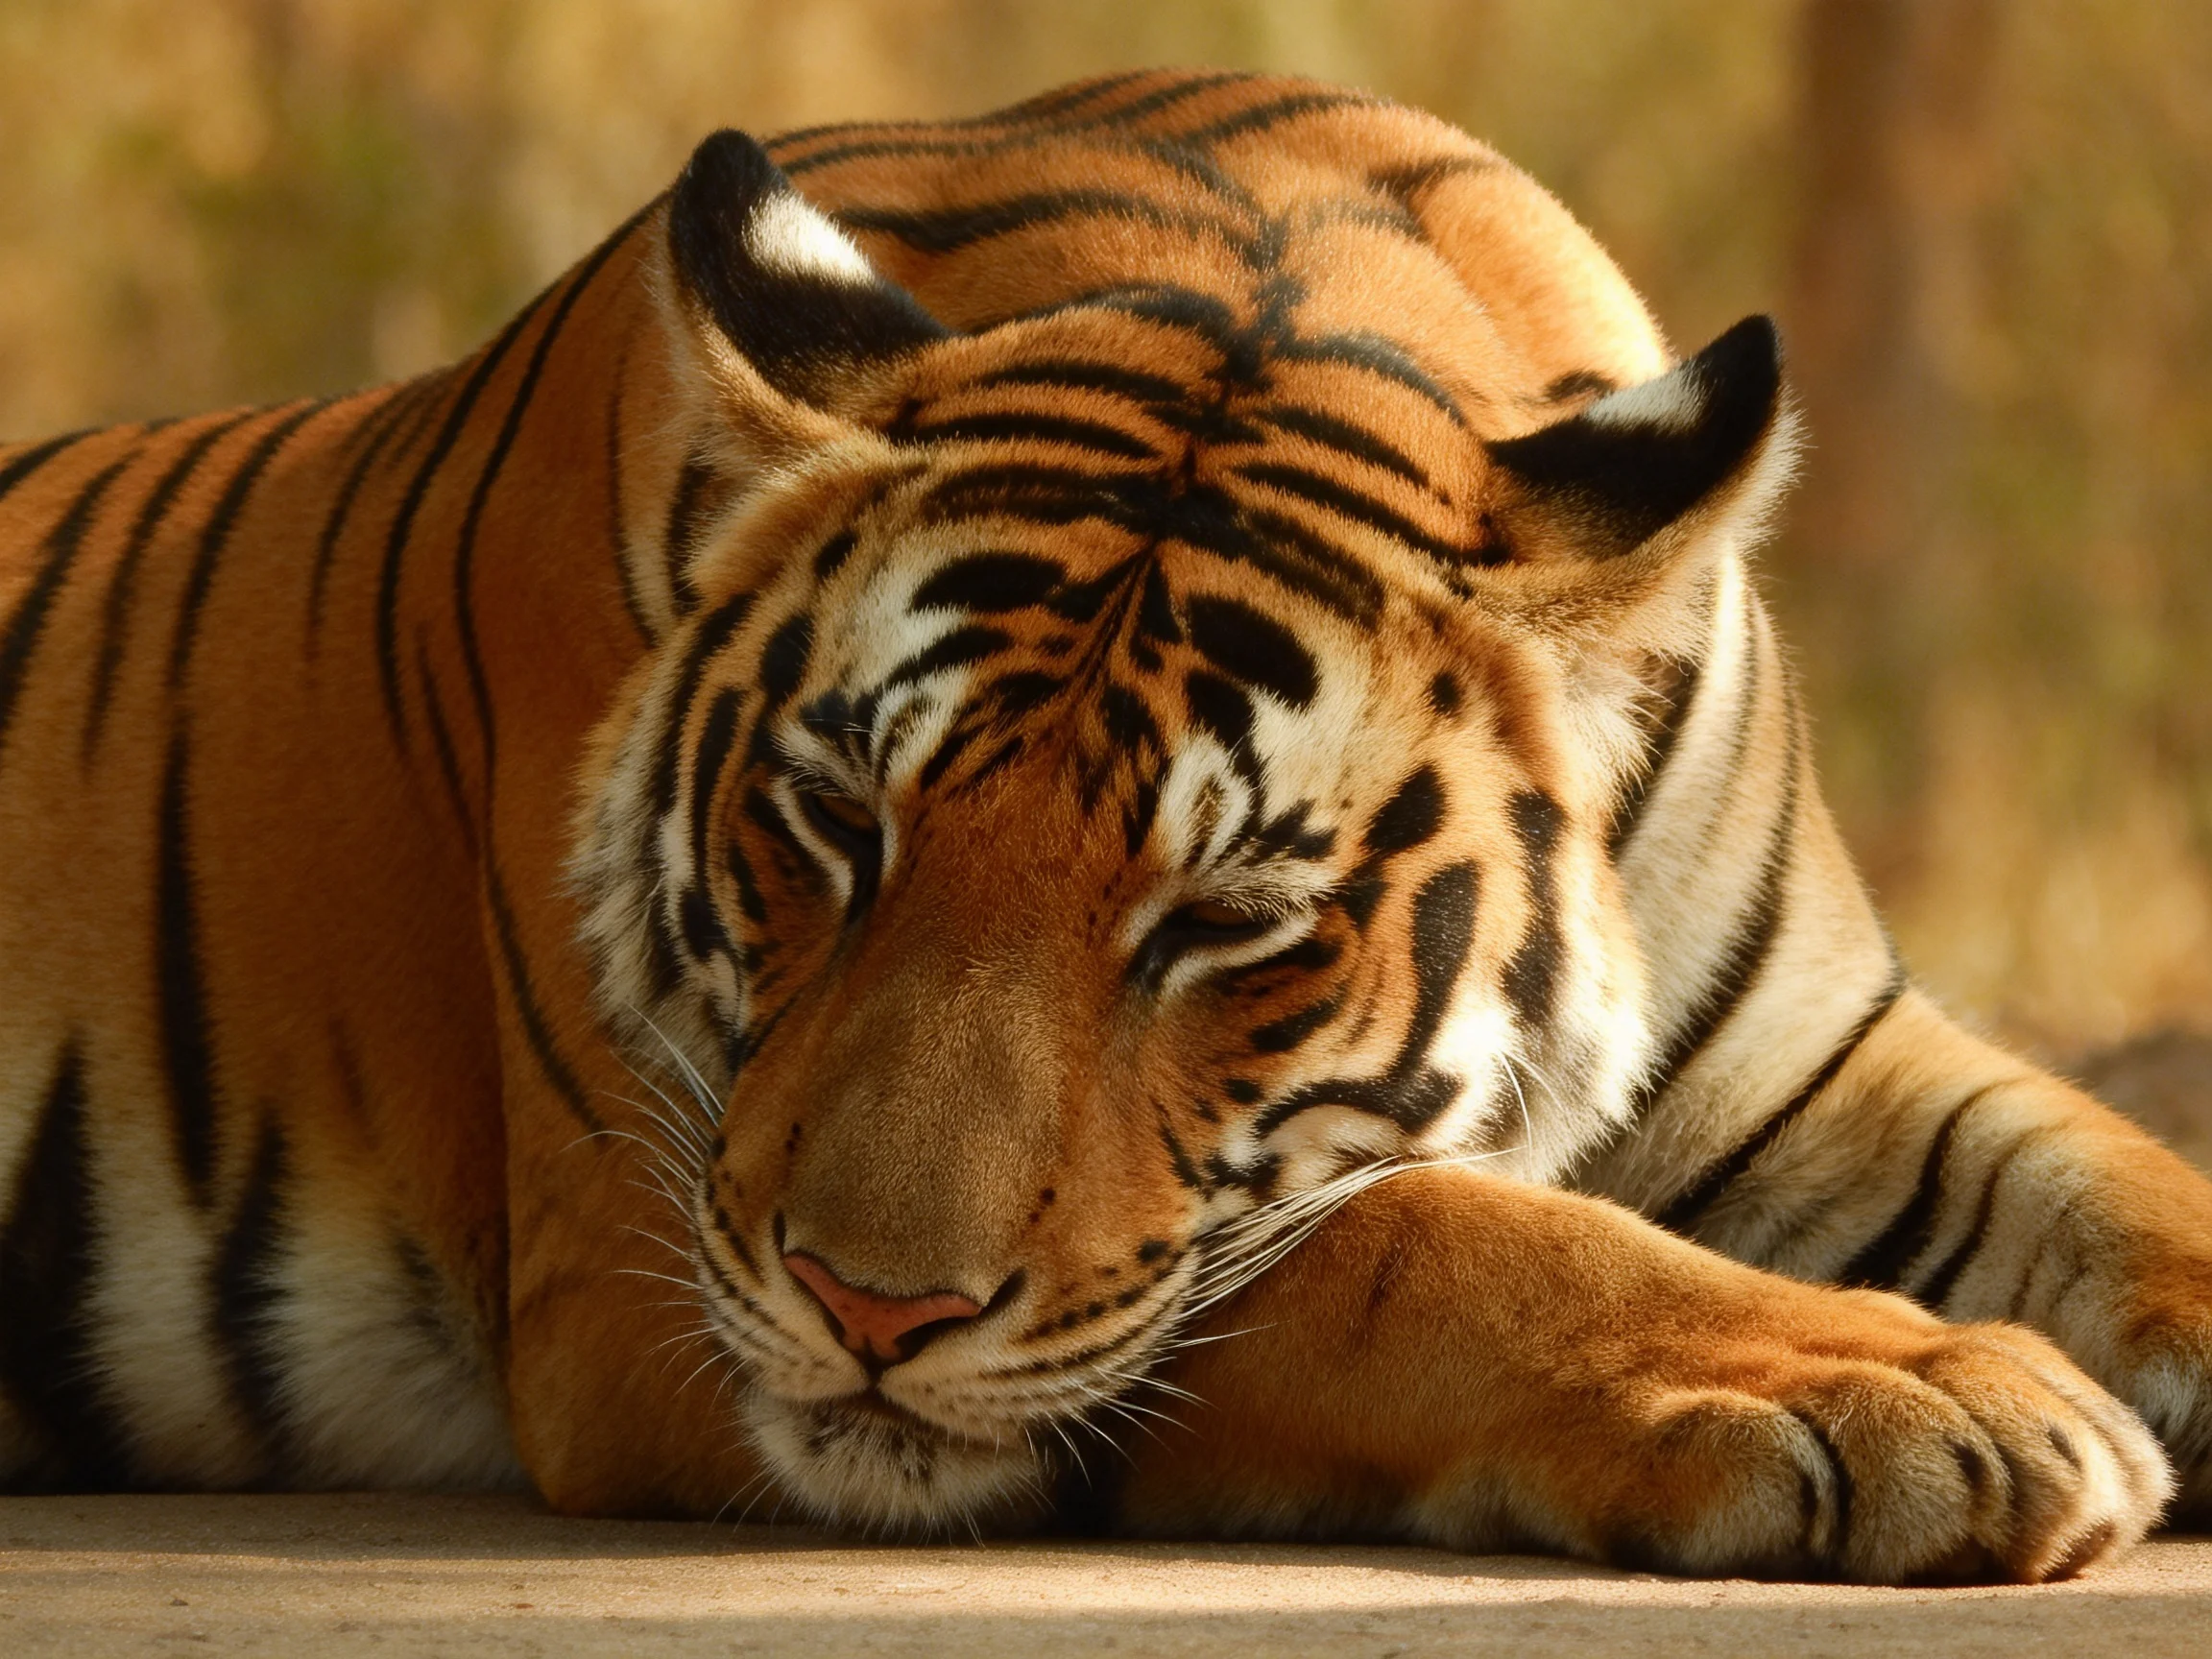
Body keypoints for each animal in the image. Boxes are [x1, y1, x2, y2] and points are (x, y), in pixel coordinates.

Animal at [2, 69, 2209, 1586]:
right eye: (832, 822)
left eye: (1226, 921)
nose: (869, 1315)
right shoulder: (641, 1245)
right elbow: (1392, 1239)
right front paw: (1912, 1390)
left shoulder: (1825, 1067)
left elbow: (2123, 1178)